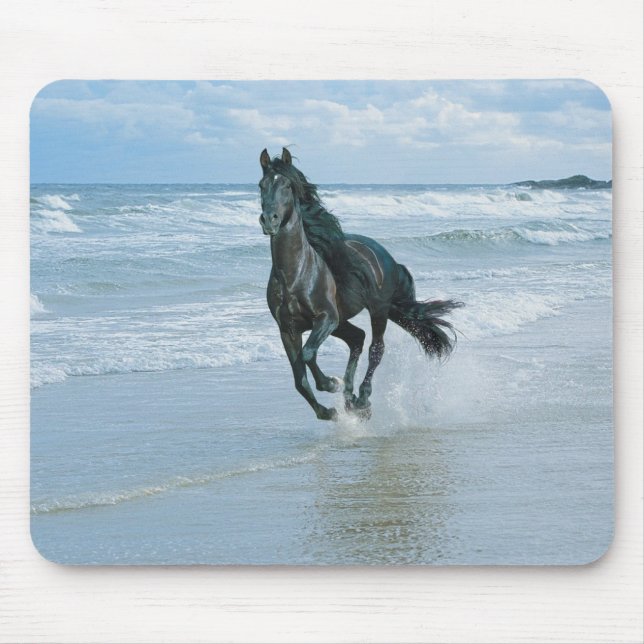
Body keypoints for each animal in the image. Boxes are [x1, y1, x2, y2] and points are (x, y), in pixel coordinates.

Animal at [259, 147, 463, 421]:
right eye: (261, 185)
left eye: (288, 186)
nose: (269, 220)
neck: (295, 275)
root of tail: (386, 256)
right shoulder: (288, 329)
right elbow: (299, 379)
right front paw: (328, 411)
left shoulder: (326, 318)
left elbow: (308, 354)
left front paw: (330, 383)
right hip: (343, 321)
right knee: (357, 338)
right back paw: (350, 398)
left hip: (377, 310)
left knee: (376, 348)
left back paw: (362, 399)